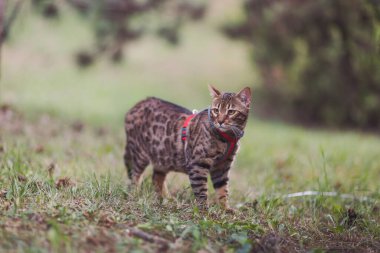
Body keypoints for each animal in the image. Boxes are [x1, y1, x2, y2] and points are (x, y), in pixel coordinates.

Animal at [123, 86, 251, 209]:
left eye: (231, 112)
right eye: (216, 110)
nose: (220, 121)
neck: (228, 138)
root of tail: (137, 104)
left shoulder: (223, 166)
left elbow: (222, 190)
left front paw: (225, 209)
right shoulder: (198, 163)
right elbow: (201, 190)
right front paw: (204, 210)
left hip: (162, 156)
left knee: (156, 178)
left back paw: (167, 199)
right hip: (140, 153)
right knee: (135, 176)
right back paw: (135, 194)